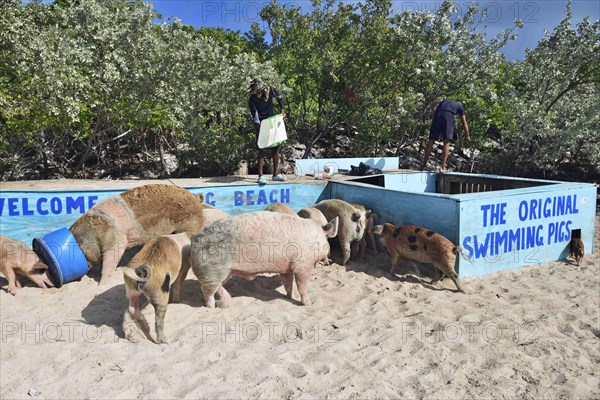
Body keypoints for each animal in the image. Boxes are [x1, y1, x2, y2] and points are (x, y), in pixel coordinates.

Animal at [190, 212, 338, 310]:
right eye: (327, 240)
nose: (329, 258)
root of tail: (194, 239)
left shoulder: (286, 268)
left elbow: (288, 283)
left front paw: (288, 297)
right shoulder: (303, 265)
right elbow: (302, 286)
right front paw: (308, 304)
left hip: (223, 273)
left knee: (215, 287)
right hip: (213, 270)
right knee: (206, 290)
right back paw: (211, 308)